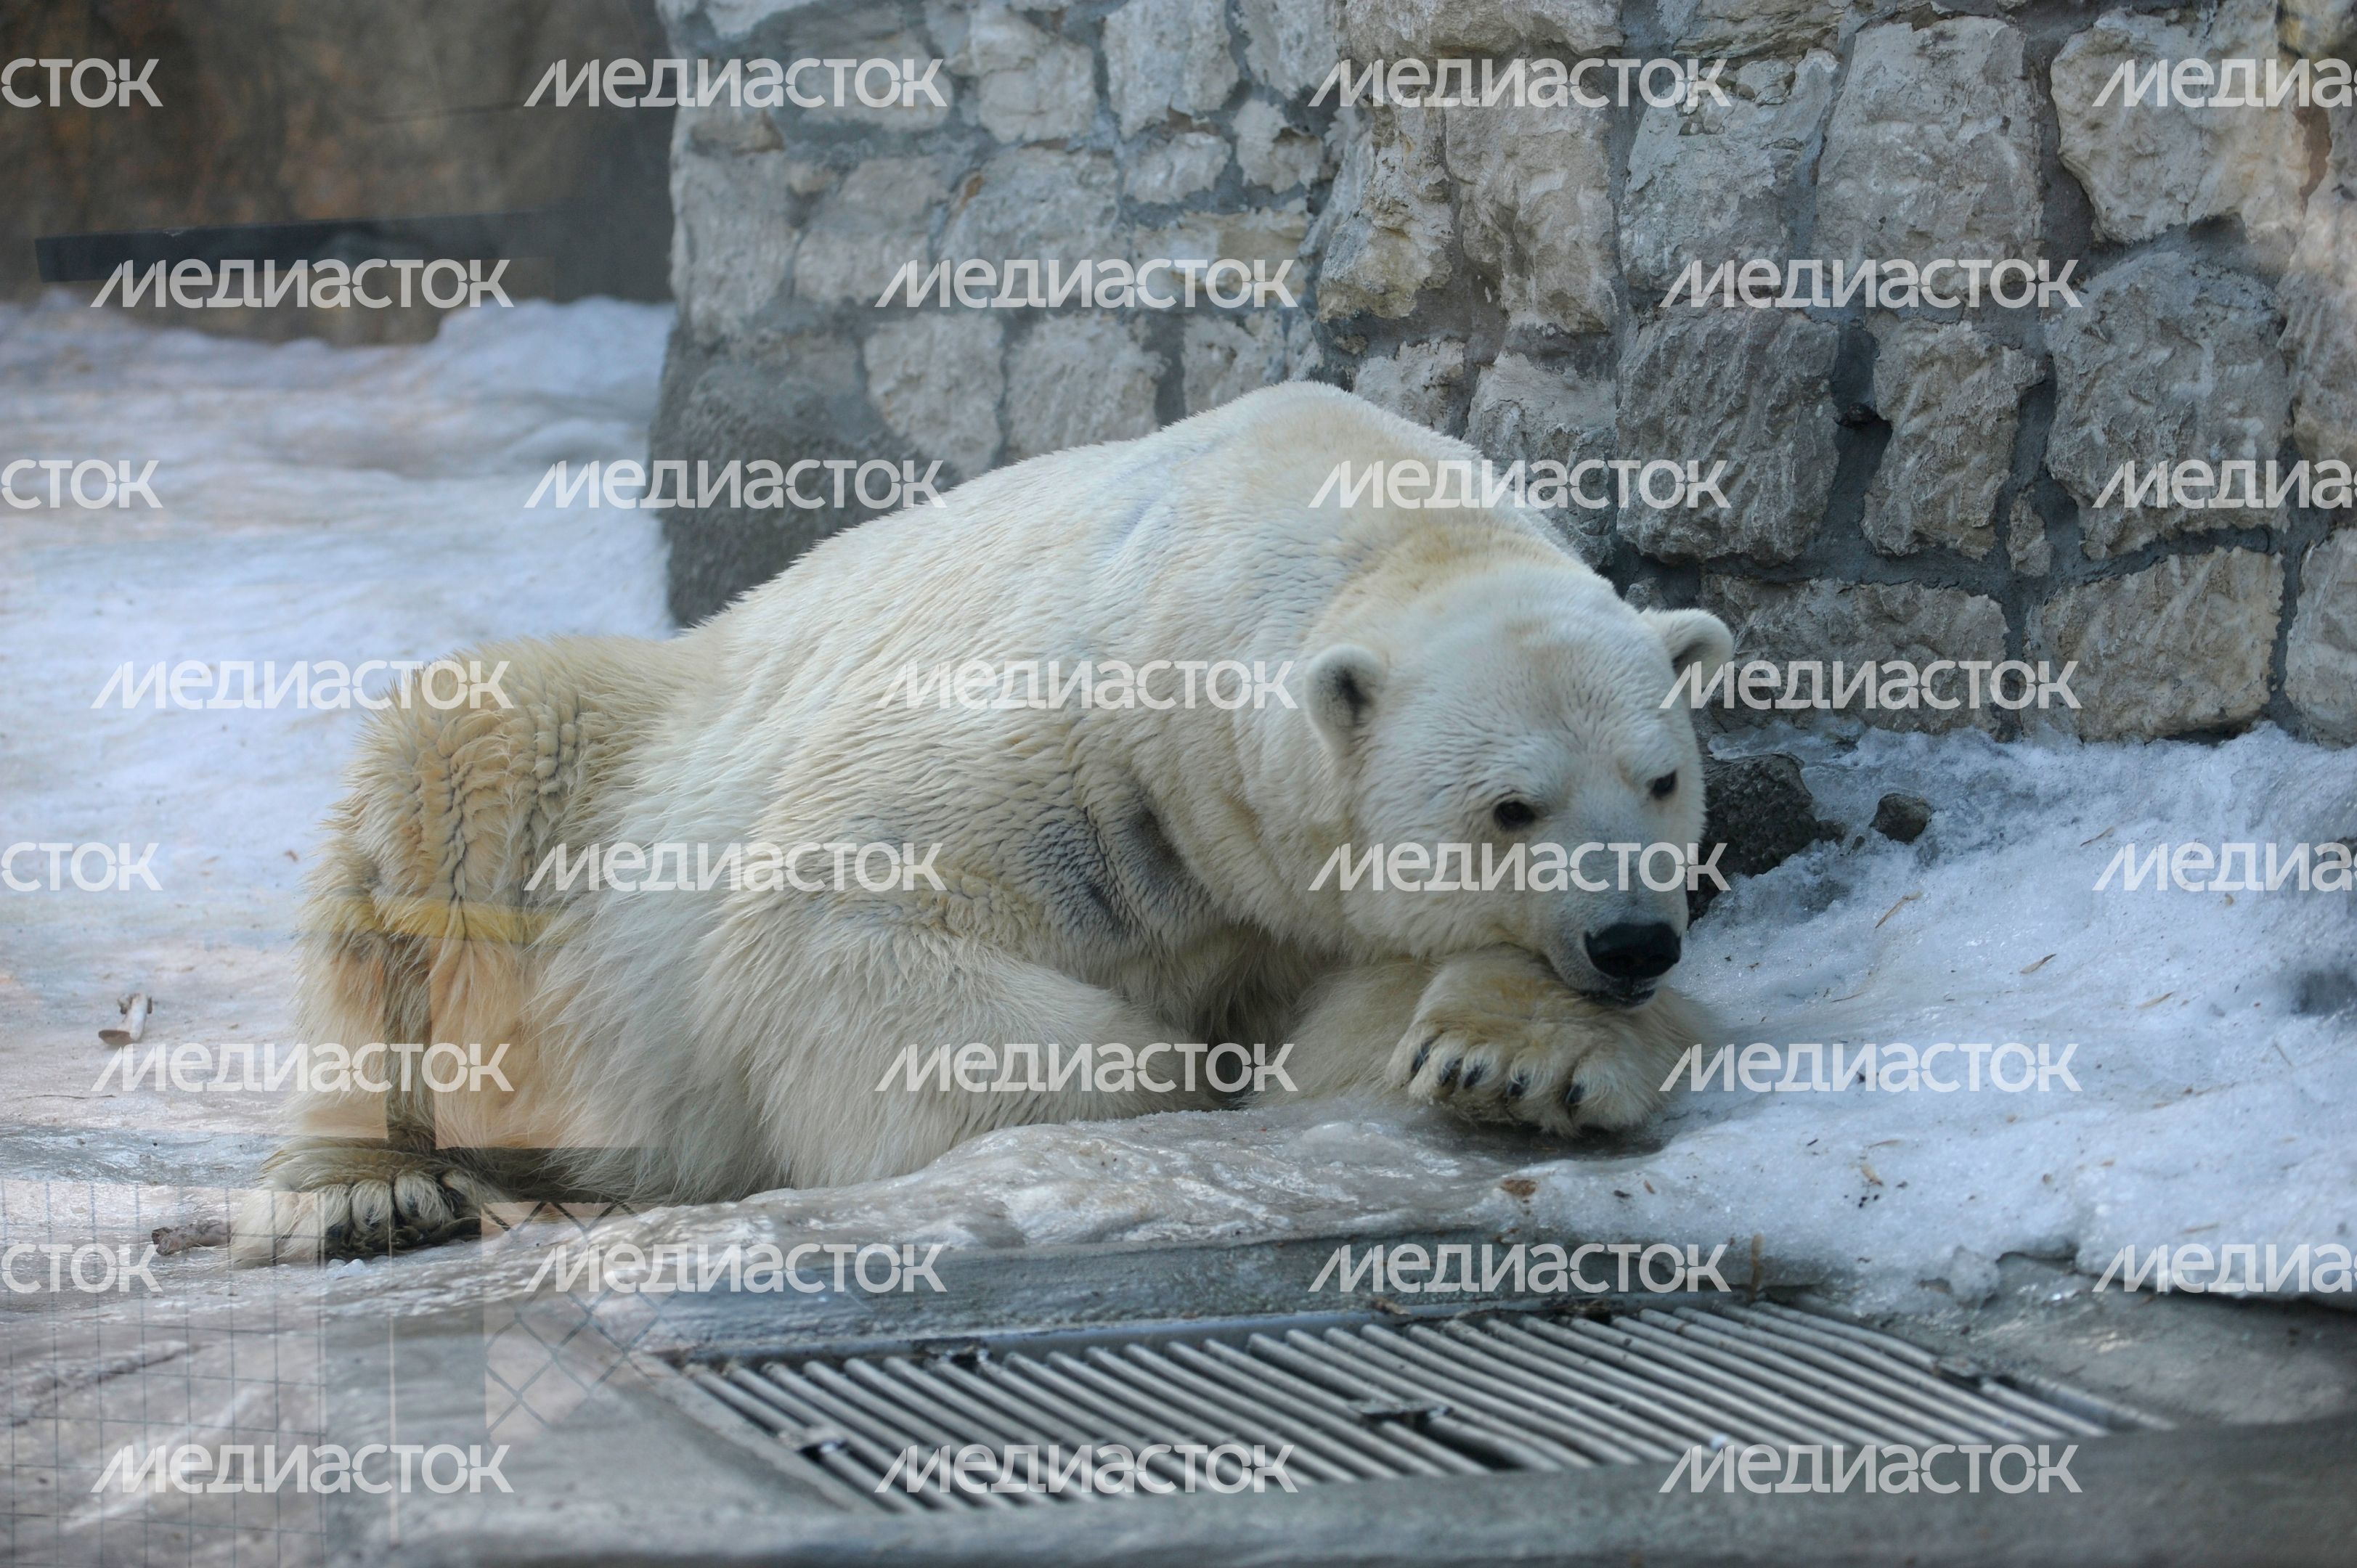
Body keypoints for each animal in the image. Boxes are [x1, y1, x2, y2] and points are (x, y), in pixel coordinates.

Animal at [233, 382, 1731, 1263]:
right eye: (1510, 807)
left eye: (1662, 779)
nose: (1630, 940)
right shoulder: (1074, 750)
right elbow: (836, 930)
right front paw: (1178, 1074)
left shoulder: (1279, 881)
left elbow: (1357, 1033)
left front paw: (1519, 1057)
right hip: (595, 765)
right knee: (452, 766)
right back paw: (364, 1190)